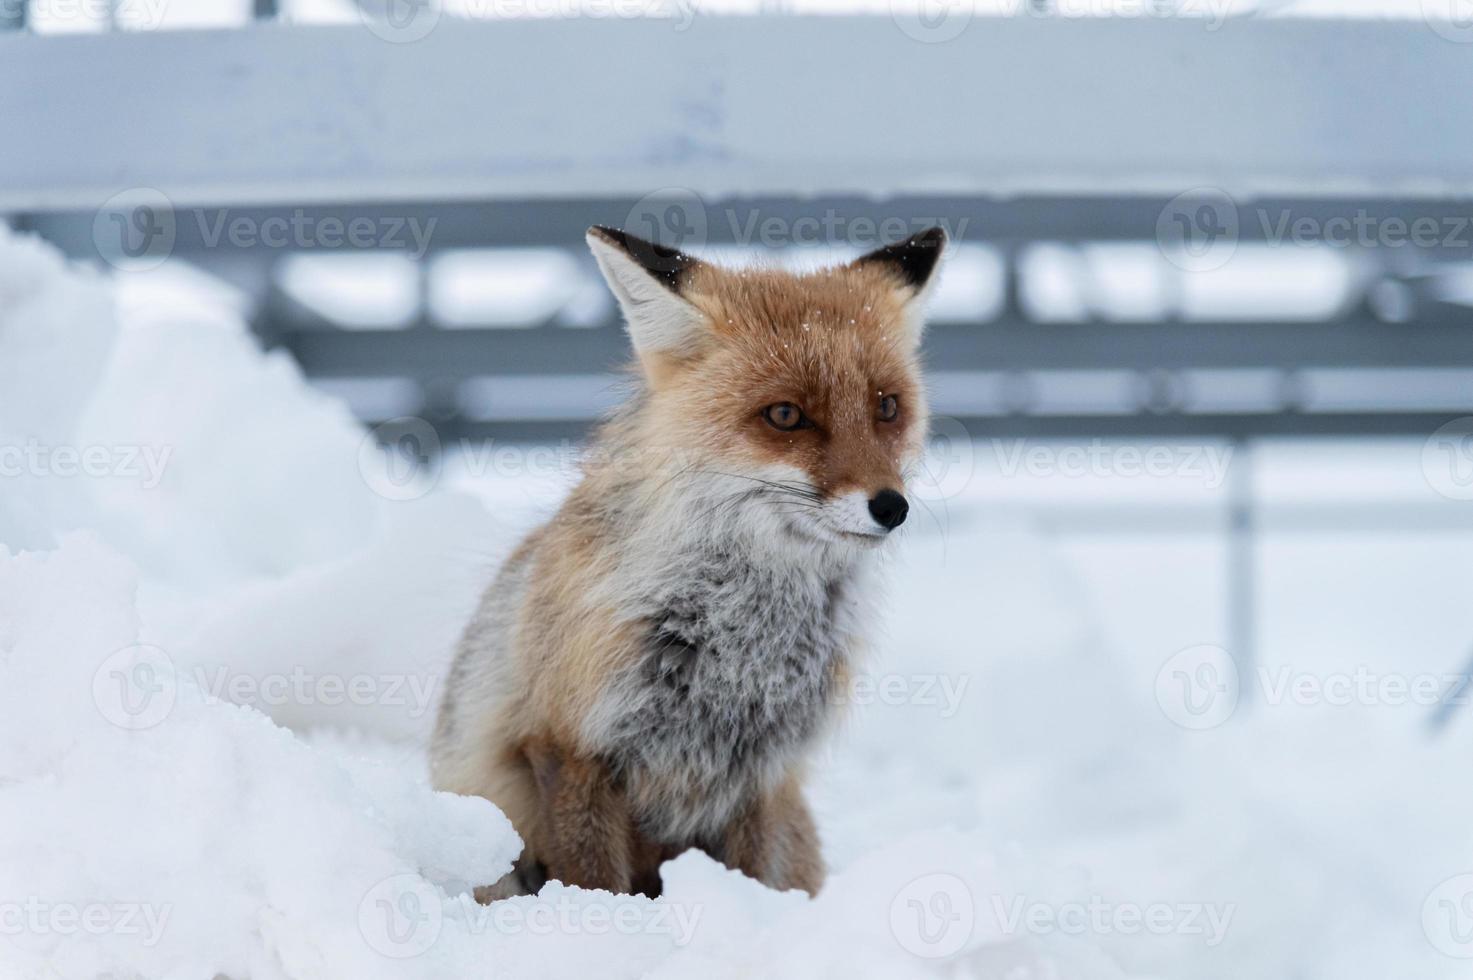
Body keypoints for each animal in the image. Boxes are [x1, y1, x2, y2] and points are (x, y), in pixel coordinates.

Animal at [430, 225, 948, 896]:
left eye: (887, 406)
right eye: (786, 415)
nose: (892, 507)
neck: (743, 632)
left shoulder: (759, 774)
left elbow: (751, 878)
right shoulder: (567, 745)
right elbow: (594, 878)